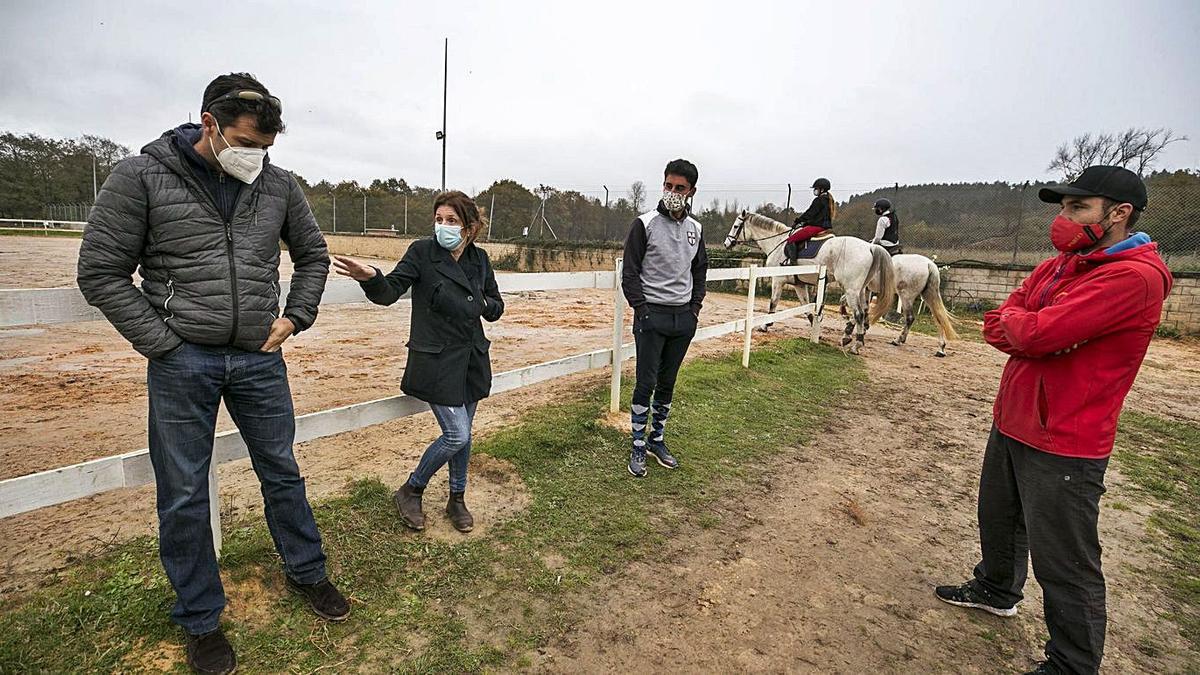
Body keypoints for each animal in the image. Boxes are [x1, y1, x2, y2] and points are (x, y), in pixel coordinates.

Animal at [720, 212, 892, 355]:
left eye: (736, 226)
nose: (726, 243)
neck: (778, 242)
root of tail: (870, 247)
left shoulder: (778, 280)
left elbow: (773, 303)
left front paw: (765, 325)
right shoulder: (799, 284)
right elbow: (807, 307)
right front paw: (818, 332)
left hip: (851, 290)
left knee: (859, 313)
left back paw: (854, 343)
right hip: (862, 290)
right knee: (864, 311)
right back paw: (853, 337)